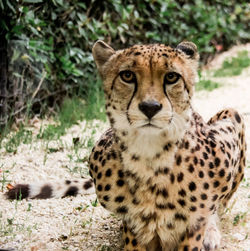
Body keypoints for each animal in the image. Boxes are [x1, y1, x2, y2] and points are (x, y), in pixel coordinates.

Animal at [6, 41, 246, 251]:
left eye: (171, 77)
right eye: (127, 75)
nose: (150, 107)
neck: (151, 159)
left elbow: (200, 221)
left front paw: (206, 232)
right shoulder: (132, 223)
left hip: (232, 116)